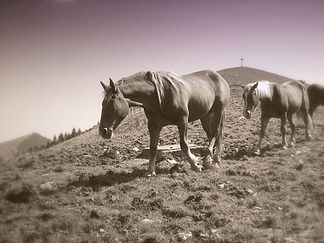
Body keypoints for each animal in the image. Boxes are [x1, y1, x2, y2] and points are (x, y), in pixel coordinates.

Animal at [98, 69, 230, 176]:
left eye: (111, 103)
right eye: (102, 103)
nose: (103, 131)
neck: (159, 97)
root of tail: (219, 77)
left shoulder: (182, 121)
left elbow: (184, 144)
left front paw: (195, 165)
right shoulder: (153, 125)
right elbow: (153, 148)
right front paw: (150, 171)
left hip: (218, 111)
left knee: (216, 132)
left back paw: (211, 160)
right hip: (205, 116)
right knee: (212, 134)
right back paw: (212, 159)